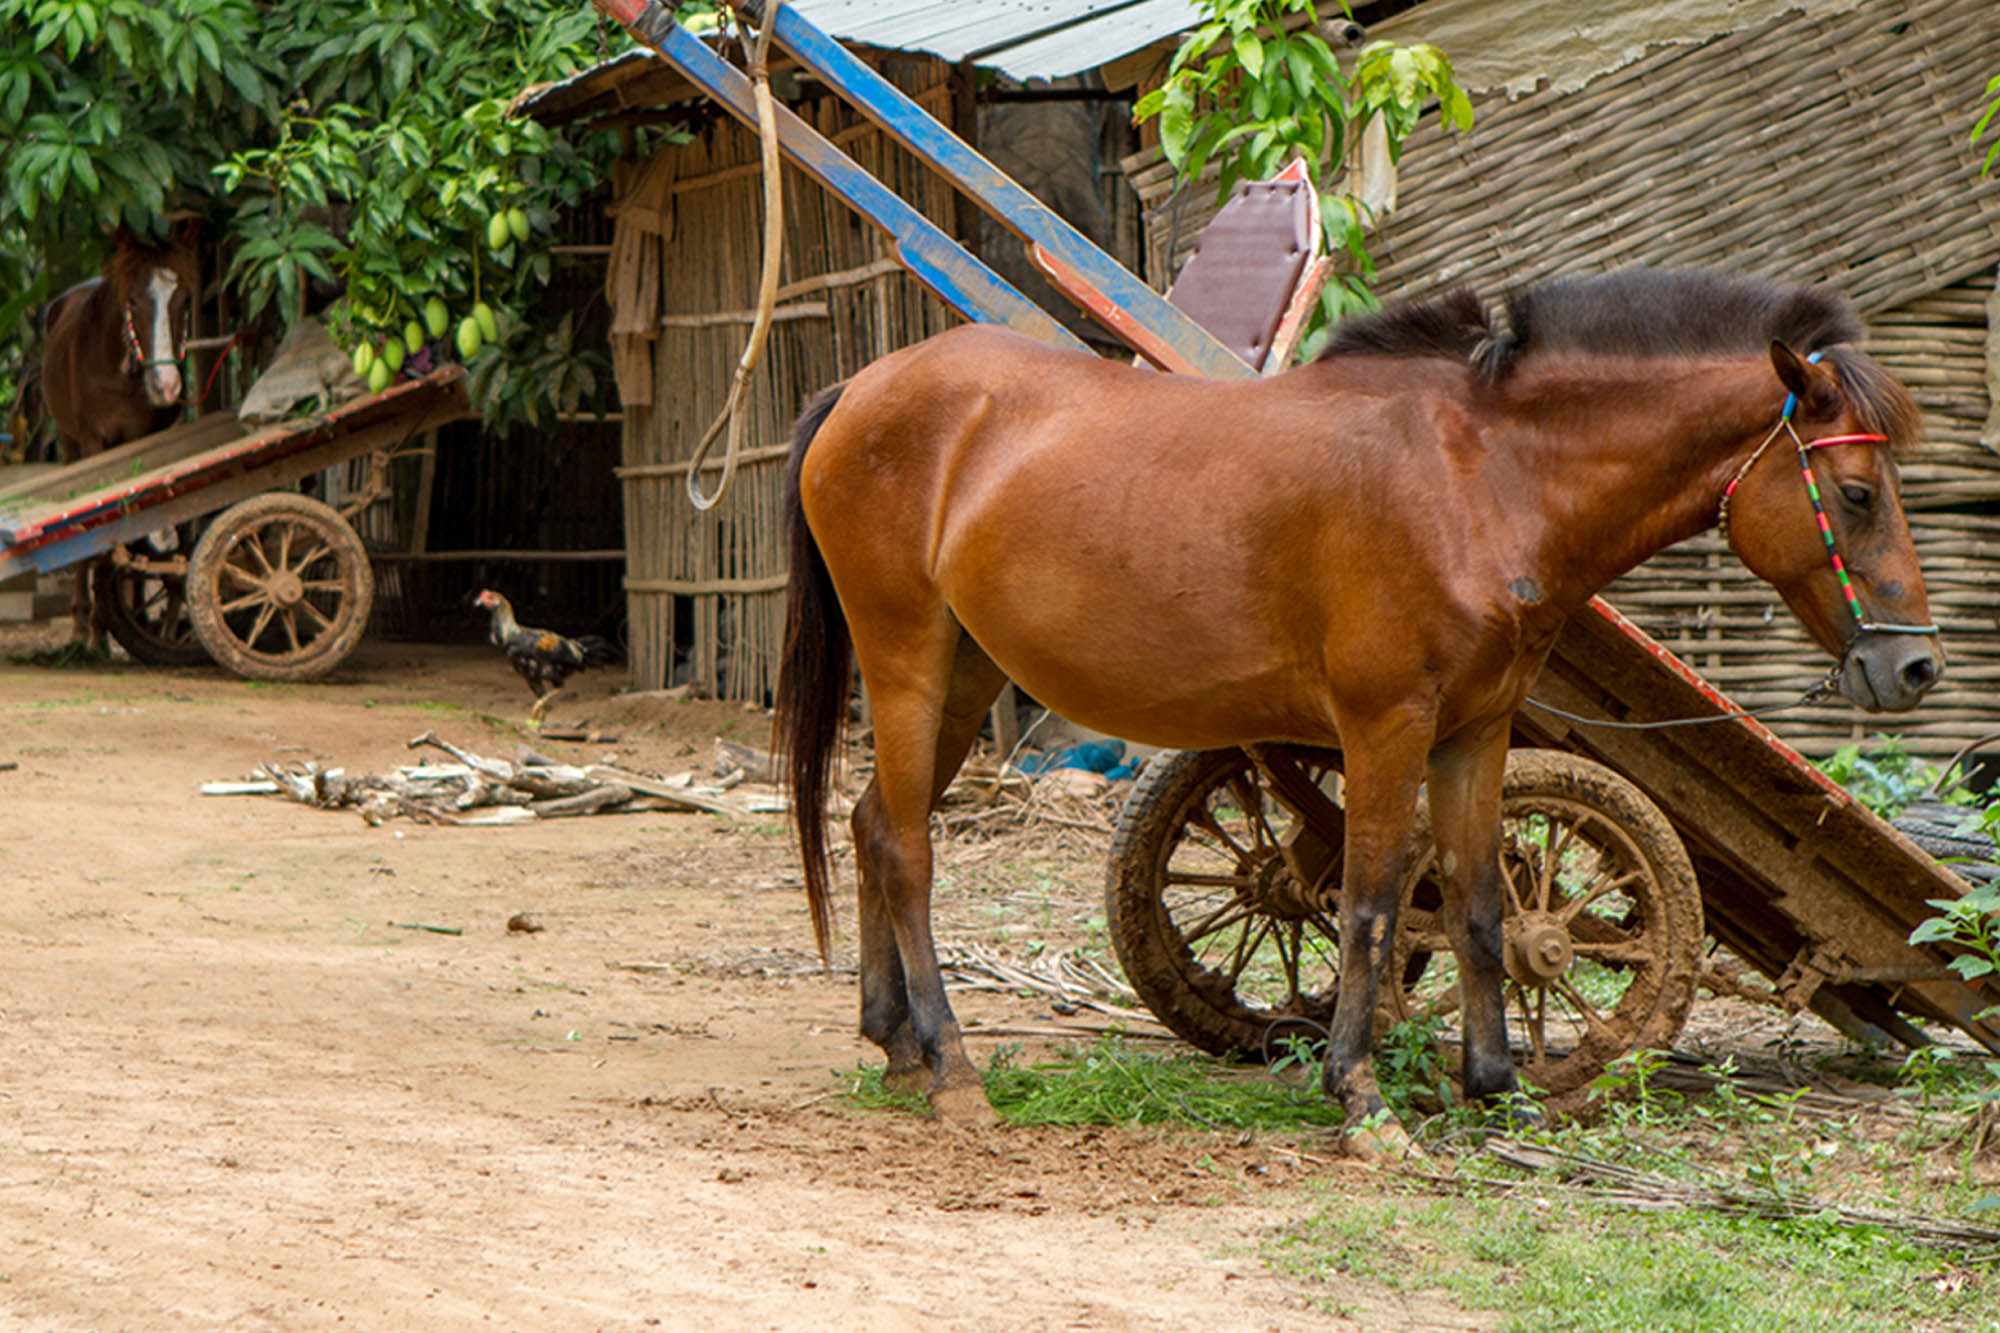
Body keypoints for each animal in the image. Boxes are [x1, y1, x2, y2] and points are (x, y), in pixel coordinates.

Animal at [41, 223, 199, 644]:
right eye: (133, 301)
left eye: (185, 301)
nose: (167, 386)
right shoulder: (95, 443)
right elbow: (96, 535)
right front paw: (99, 627)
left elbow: (137, 528)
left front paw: (133, 616)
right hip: (71, 445)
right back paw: (81, 623)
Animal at [772, 264, 1944, 1144]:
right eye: (1854, 494)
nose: (1914, 670)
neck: (1480, 476)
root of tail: (860, 390)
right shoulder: (1386, 728)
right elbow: (1373, 902)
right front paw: (1360, 1094)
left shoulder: (1474, 732)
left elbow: (1478, 906)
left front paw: (1495, 1086)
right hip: (908, 658)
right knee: (907, 848)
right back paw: (951, 1064)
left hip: (964, 671)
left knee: (872, 823)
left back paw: (895, 1044)